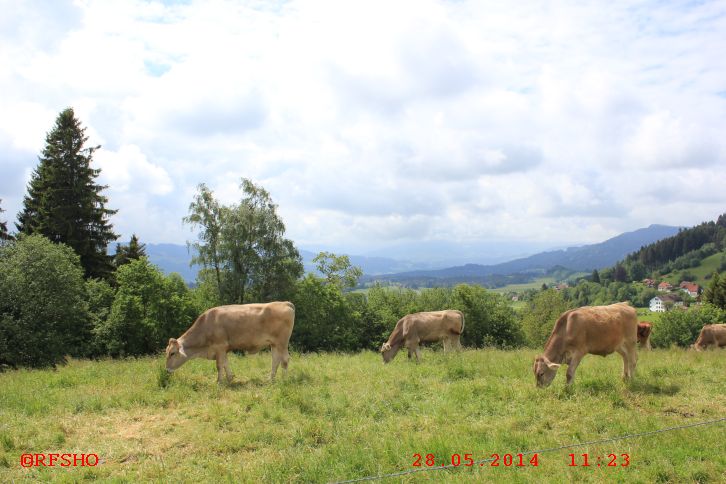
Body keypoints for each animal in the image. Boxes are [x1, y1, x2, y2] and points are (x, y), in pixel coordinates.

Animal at [167, 300, 296, 384]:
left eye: (172, 353)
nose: (167, 370)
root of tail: (284, 303)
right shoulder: (223, 349)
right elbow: (225, 363)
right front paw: (230, 378)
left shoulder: (219, 347)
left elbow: (219, 365)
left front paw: (219, 382)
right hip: (274, 344)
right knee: (275, 360)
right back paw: (271, 379)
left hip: (282, 343)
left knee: (285, 359)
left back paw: (284, 380)